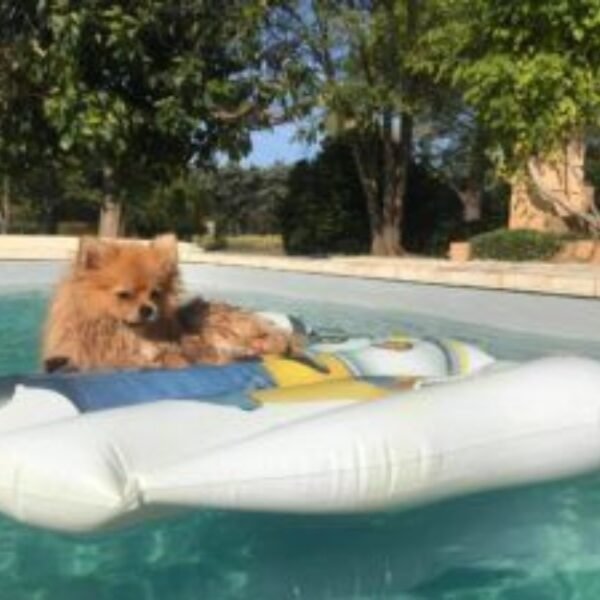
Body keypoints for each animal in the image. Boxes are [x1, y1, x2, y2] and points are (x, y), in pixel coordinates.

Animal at [42, 233, 302, 370]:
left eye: (155, 293)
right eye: (124, 295)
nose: (148, 309)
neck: (131, 336)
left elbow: (180, 354)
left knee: (273, 338)